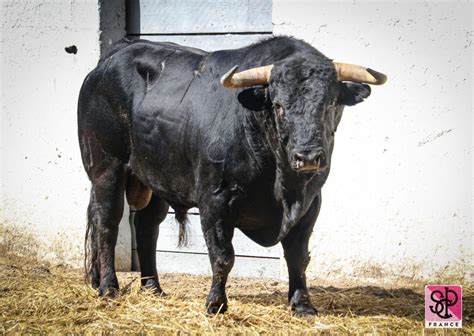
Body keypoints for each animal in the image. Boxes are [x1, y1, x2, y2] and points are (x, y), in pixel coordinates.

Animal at [77, 36, 382, 316]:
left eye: (330, 104)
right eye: (278, 105)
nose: (308, 157)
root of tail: (112, 57)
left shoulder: (310, 204)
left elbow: (297, 258)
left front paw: (302, 305)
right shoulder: (215, 201)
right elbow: (223, 257)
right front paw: (216, 304)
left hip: (155, 177)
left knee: (146, 226)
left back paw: (153, 287)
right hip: (106, 168)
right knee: (107, 223)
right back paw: (108, 287)